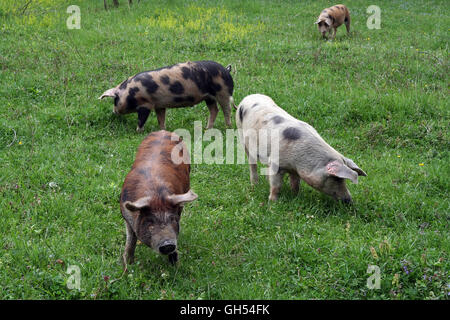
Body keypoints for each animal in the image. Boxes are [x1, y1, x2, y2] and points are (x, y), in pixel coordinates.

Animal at [96, 60, 234, 132]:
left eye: (115, 100)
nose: (114, 112)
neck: (130, 92)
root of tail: (226, 70)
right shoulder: (159, 105)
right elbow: (161, 118)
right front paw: (162, 130)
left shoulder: (146, 104)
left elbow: (141, 119)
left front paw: (138, 131)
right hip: (209, 97)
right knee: (214, 110)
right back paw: (207, 128)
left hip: (223, 92)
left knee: (226, 109)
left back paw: (228, 126)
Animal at [118, 129, 198, 266]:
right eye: (150, 221)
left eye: (173, 219)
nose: (168, 244)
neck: (156, 195)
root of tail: (163, 131)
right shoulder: (126, 217)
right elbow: (131, 240)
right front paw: (128, 264)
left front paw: (175, 265)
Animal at [236, 94, 366, 202]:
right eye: (336, 179)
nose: (349, 200)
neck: (297, 162)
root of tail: (248, 97)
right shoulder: (275, 163)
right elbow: (276, 186)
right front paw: (273, 202)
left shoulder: (295, 170)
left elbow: (295, 184)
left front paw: (295, 197)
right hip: (242, 135)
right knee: (252, 164)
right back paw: (254, 185)